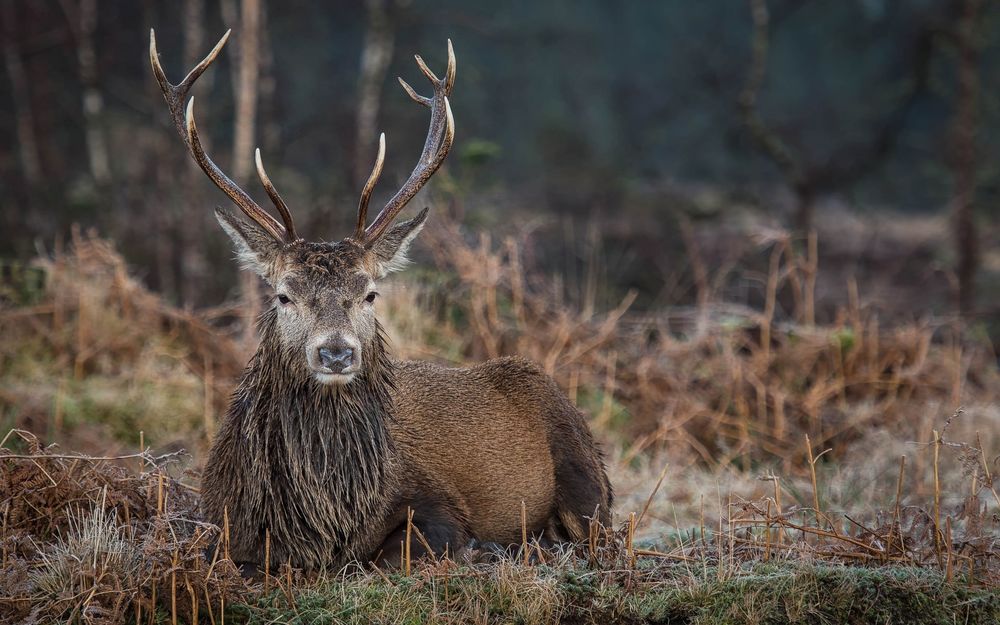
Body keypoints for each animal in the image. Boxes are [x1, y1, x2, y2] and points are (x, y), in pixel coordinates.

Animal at [150, 29, 608, 572]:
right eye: (284, 295)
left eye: (369, 293)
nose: (336, 352)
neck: (327, 517)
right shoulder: (222, 521)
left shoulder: (437, 505)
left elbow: (392, 554)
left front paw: (486, 547)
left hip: (585, 474)